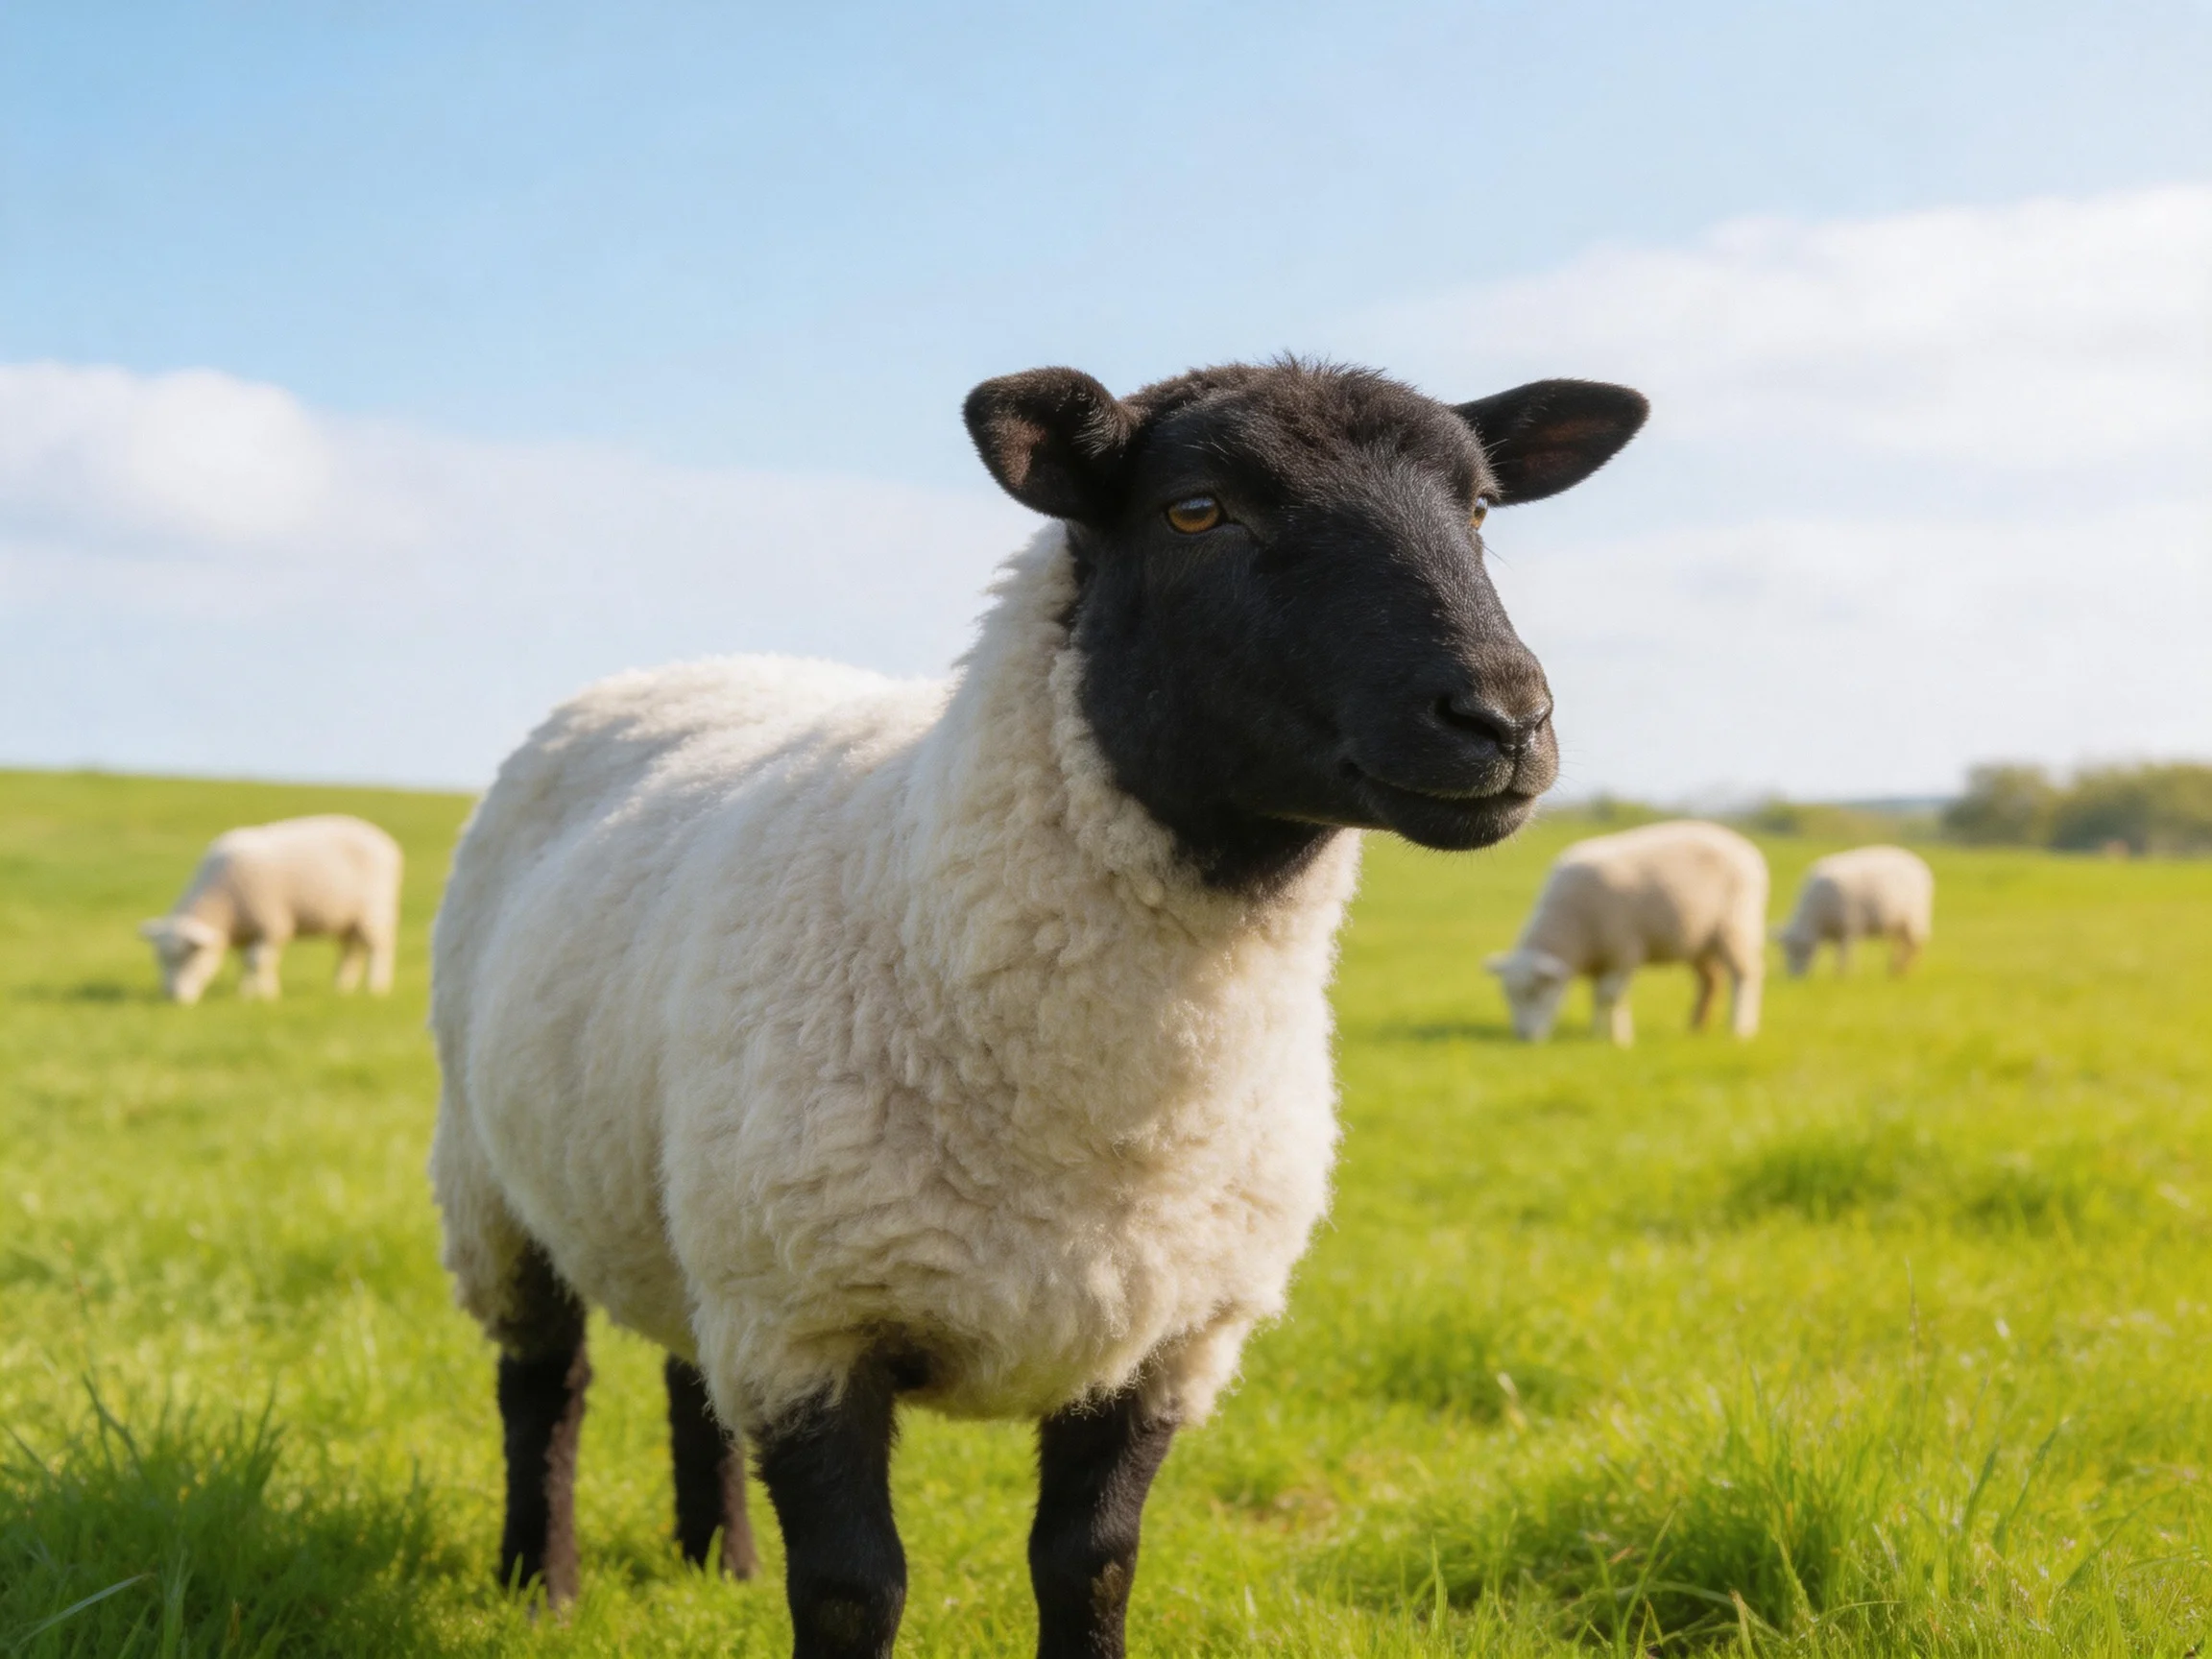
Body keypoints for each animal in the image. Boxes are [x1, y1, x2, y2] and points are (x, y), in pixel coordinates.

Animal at [140, 814, 402, 1004]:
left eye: (190, 957)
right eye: (159, 959)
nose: (172, 997)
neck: (221, 903)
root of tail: (386, 843)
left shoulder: (272, 926)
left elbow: (259, 962)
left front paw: (267, 996)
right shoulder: (247, 930)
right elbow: (245, 963)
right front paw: (245, 993)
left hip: (374, 912)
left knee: (379, 948)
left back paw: (376, 988)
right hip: (348, 920)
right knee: (350, 951)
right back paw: (341, 987)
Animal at [428, 360, 1648, 1656]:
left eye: (1480, 509)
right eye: (1197, 509)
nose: (1505, 720)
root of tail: (685, 664)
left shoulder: (1164, 1340)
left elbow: (1091, 1566)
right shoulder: (809, 1324)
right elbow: (855, 1590)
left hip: (684, 1204)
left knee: (683, 1370)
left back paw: (722, 1565)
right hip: (497, 1184)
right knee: (542, 1389)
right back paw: (539, 1582)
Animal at [1487, 819, 1768, 1045]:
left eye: (1534, 992)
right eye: (1507, 996)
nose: (1523, 1037)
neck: (1571, 925)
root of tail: (1745, 848)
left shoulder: (1624, 950)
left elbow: (1609, 997)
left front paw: (1618, 1039)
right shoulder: (1602, 958)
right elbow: (1599, 998)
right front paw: (1598, 1031)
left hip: (1737, 927)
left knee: (1745, 976)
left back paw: (1740, 1029)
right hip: (1699, 940)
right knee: (1710, 980)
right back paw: (1697, 1025)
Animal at [1777, 844, 1934, 977]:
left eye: (1801, 949)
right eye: (1785, 951)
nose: (1794, 977)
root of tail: (1917, 863)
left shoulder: (1850, 926)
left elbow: (1845, 954)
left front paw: (1843, 976)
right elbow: (1840, 954)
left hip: (1916, 918)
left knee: (1915, 945)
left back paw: (1905, 971)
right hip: (1897, 924)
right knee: (1900, 944)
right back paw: (1894, 969)